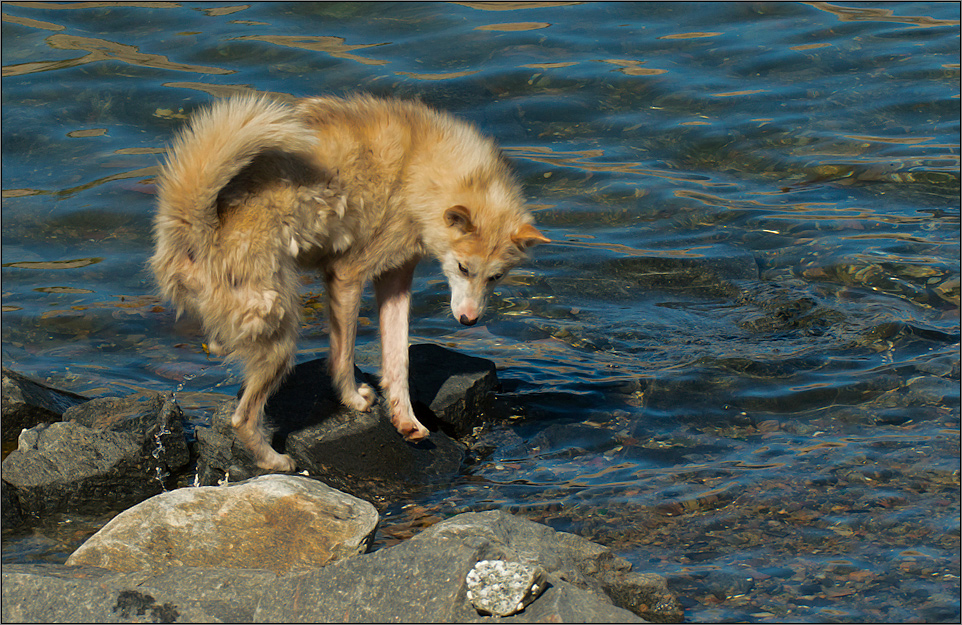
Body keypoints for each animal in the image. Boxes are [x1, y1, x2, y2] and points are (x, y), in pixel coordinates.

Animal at [151, 95, 548, 470]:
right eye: (463, 268)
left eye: (496, 277)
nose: (469, 321)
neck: (417, 169)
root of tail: (197, 227)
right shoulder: (347, 276)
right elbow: (342, 357)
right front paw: (353, 400)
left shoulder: (396, 278)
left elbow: (398, 360)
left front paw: (405, 419)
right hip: (280, 332)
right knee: (242, 418)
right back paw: (273, 460)